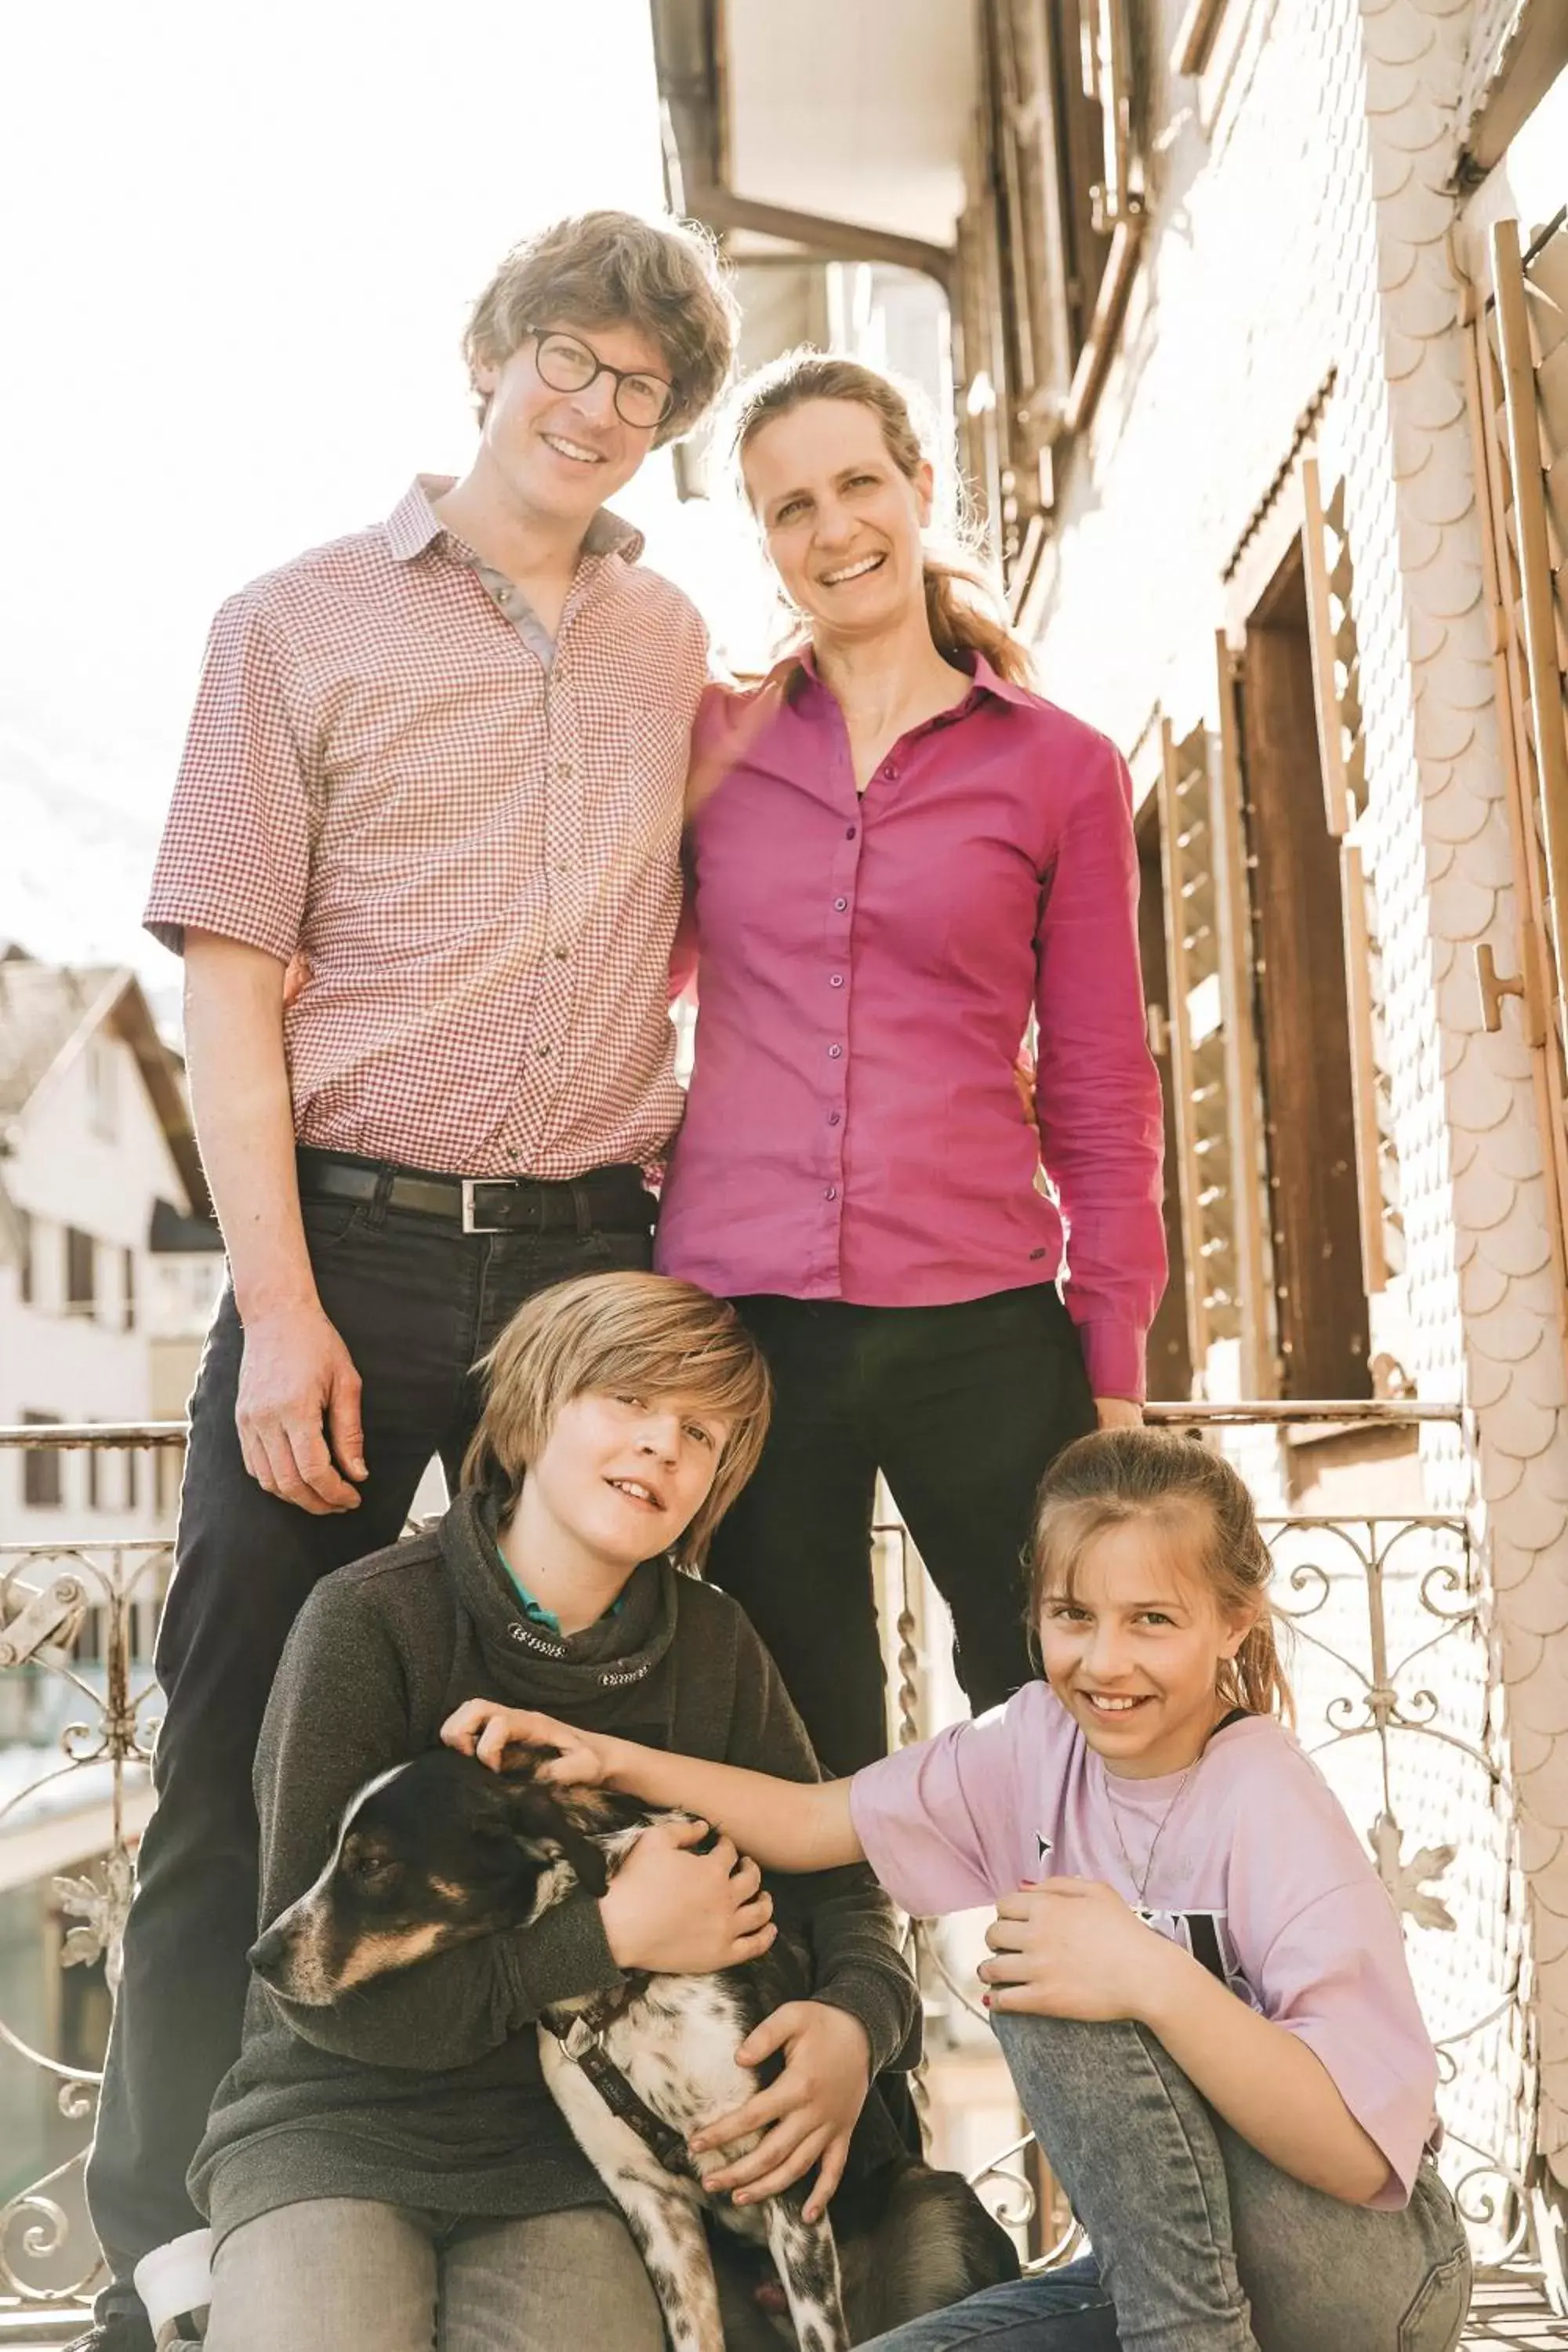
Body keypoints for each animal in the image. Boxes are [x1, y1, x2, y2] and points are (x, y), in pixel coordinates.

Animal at [255, 1750, 1020, 2352]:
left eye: (372, 1864)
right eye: (336, 1856)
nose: (257, 1957)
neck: (620, 1992)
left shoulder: (786, 2182)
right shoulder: (653, 2206)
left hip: (937, 2207)